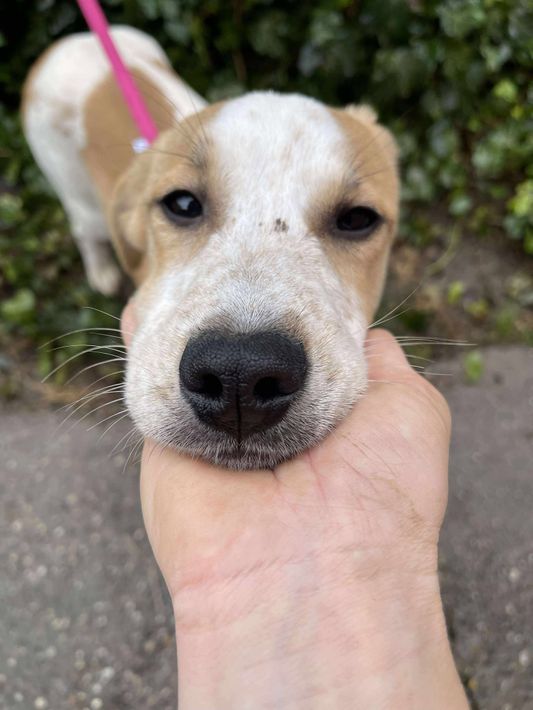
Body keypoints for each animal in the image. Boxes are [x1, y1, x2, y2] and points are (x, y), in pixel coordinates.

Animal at [22, 26, 399, 469]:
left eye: (357, 219)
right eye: (182, 204)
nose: (240, 374)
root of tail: (67, 42)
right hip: (78, 197)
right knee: (86, 231)